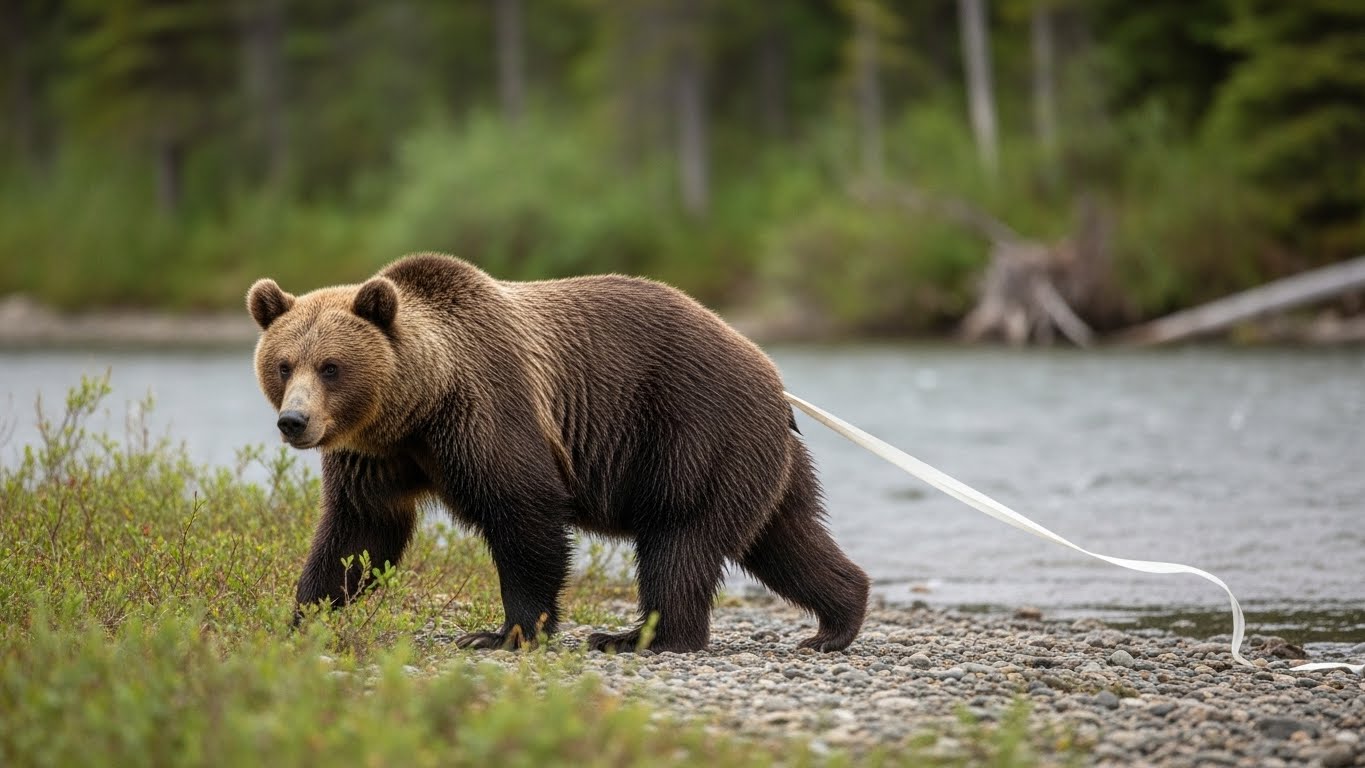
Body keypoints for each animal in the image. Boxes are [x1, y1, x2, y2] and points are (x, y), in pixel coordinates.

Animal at [246, 253, 869, 652]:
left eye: (331, 366)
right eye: (284, 364)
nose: (294, 421)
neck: (418, 406)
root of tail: (775, 378)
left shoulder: (486, 412)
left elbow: (524, 516)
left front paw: (502, 633)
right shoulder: (377, 455)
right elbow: (359, 533)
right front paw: (301, 616)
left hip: (696, 429)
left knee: (680, 537)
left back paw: (639, 637)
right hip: (763, 459)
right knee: (784, 538)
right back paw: (836, 620)